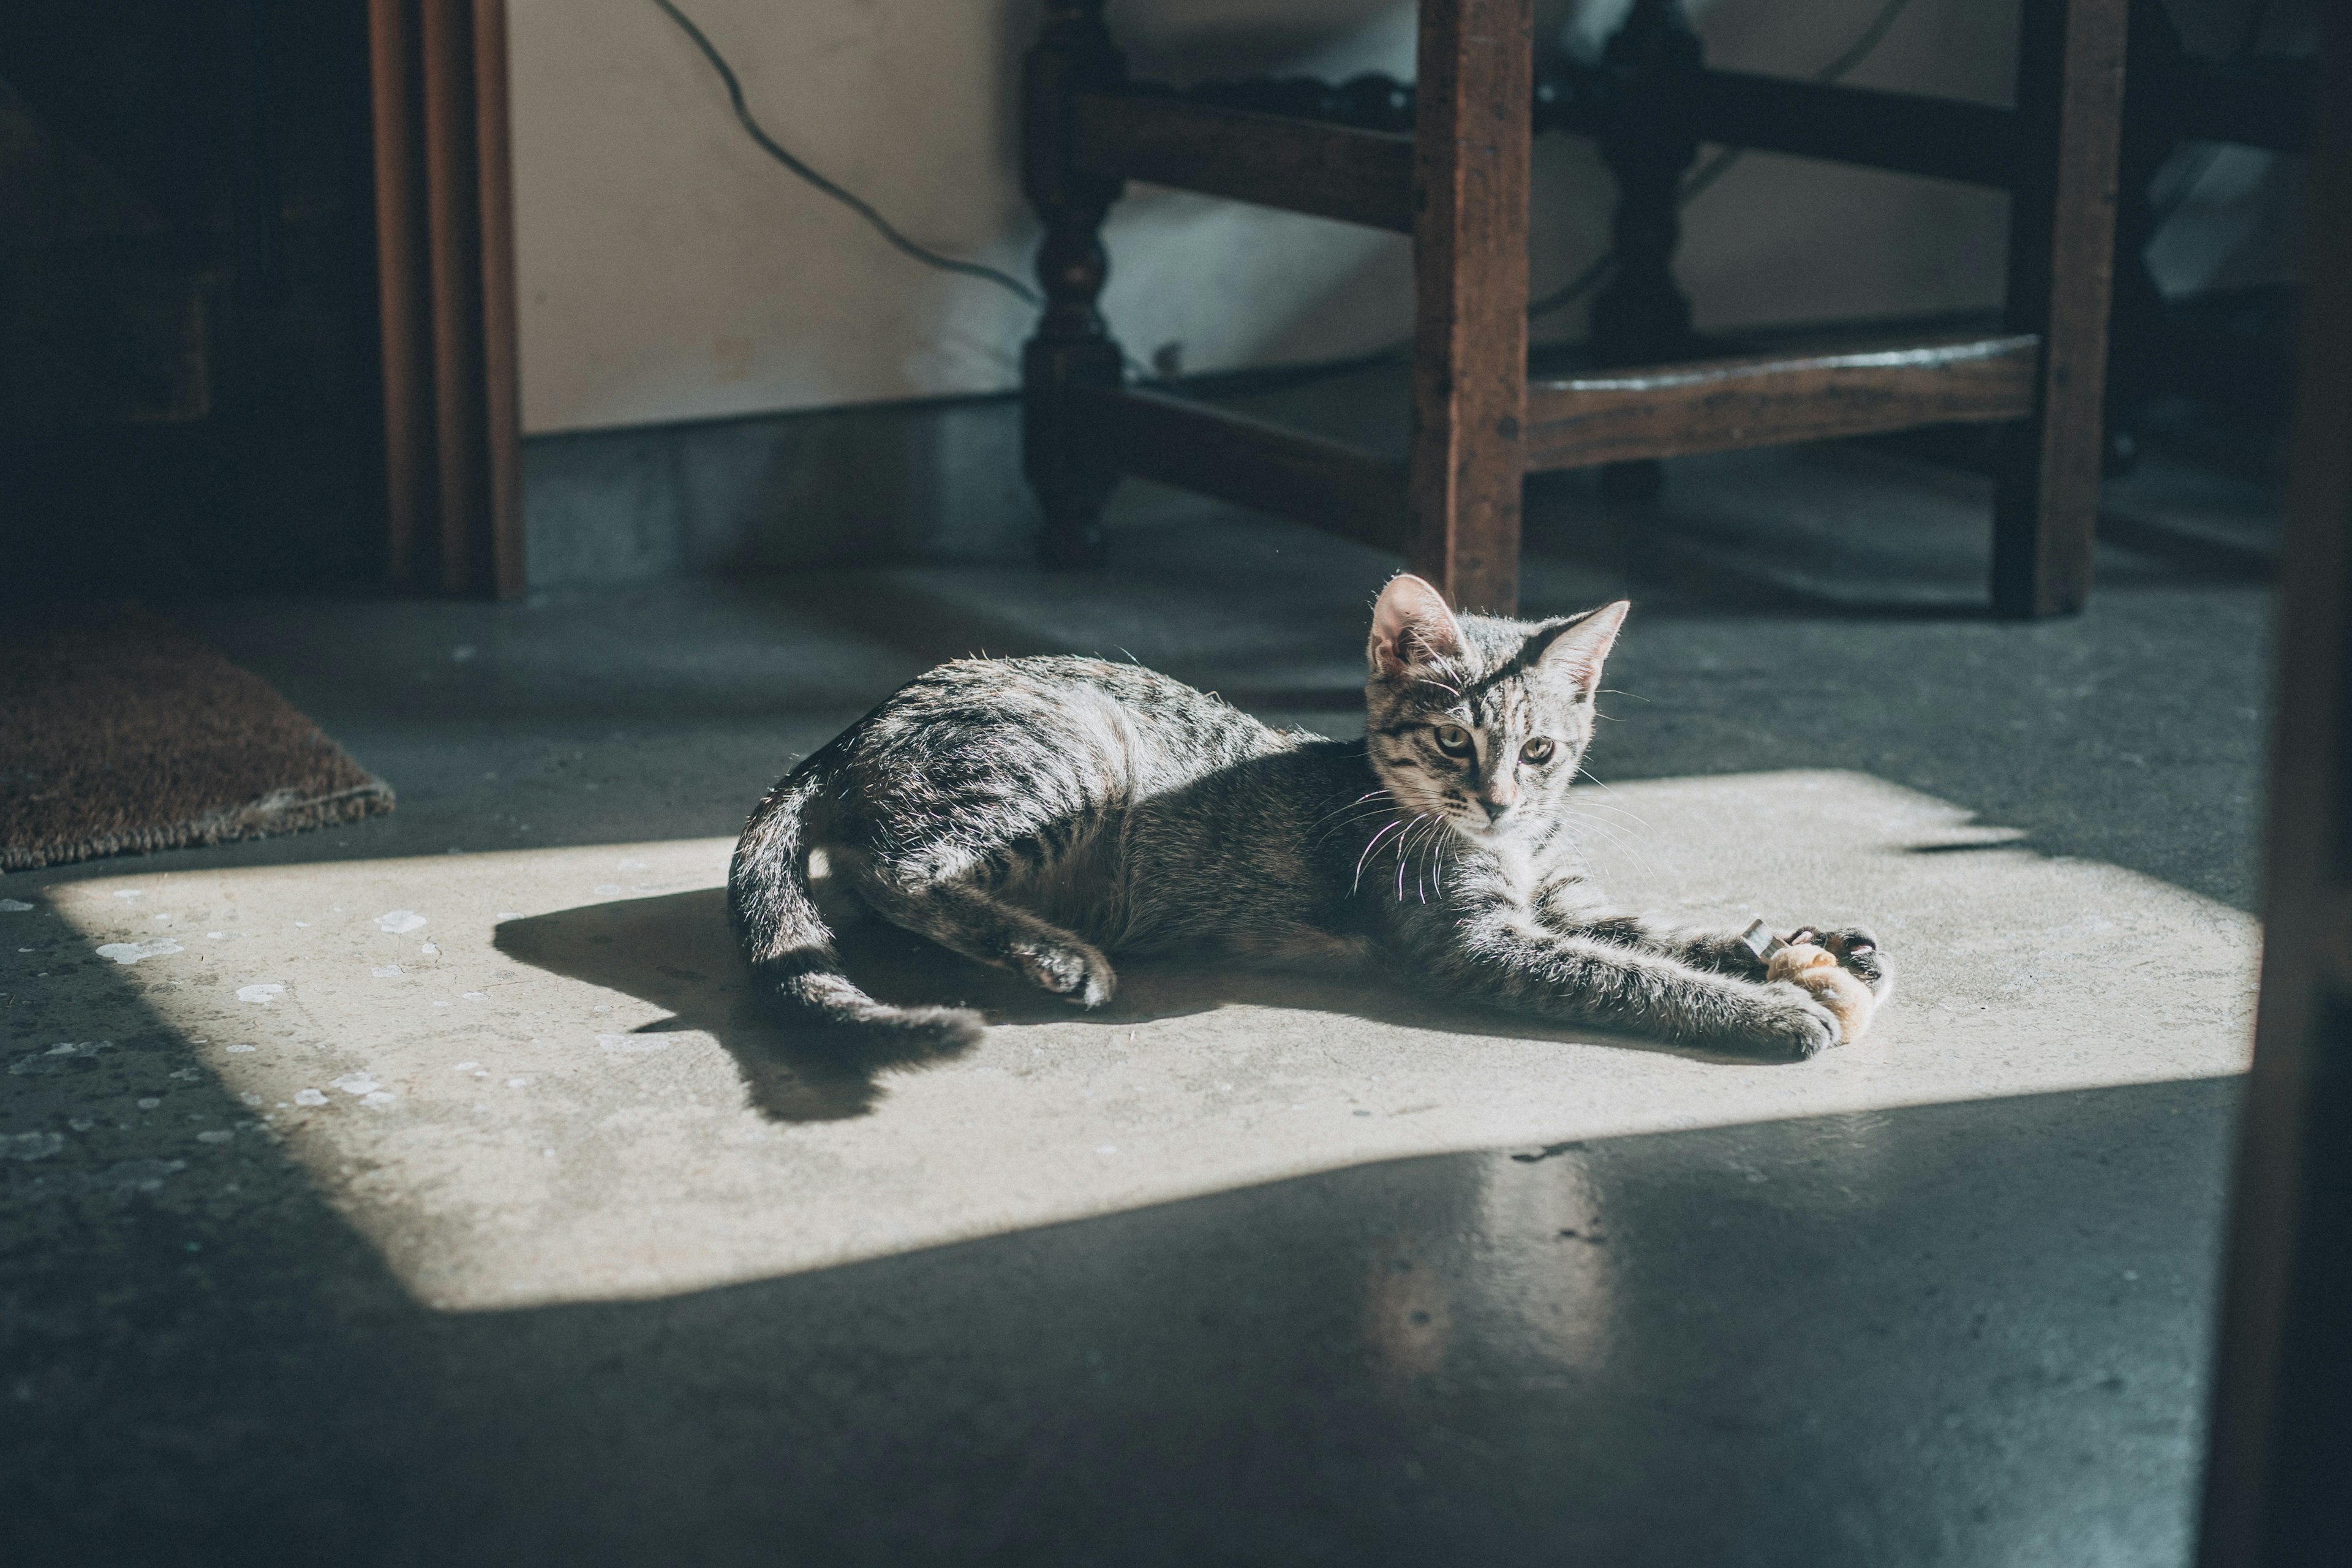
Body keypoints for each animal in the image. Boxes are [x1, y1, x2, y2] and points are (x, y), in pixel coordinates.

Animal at [734, 571, 1891, 1062]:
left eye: (1541, 752)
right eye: (1453, 744)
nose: (1499, 800)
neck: (1509, 848)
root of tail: (868, 718)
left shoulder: (1562, 899)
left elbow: (1658, 933)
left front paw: (1797, 948)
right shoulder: (1474, 942)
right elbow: (1632, 975)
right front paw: (1770, 1008)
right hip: (1070, 764)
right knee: (899, 873)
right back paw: (1054, 954)